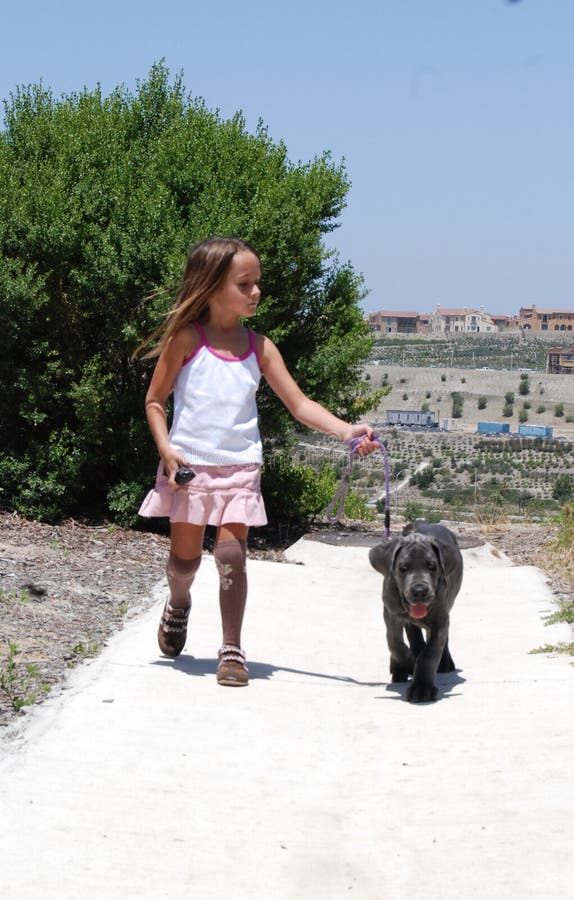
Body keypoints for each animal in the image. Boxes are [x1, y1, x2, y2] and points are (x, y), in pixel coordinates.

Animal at [368, 520, 468, 704]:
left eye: (432, 567)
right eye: (403, 568)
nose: (420, 591)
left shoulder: (439, 620)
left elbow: (430, 654)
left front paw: (422, 688)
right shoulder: (391, 614)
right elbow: (394, 643)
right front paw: (407, 663)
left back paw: (444, 662)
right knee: (412, 635)